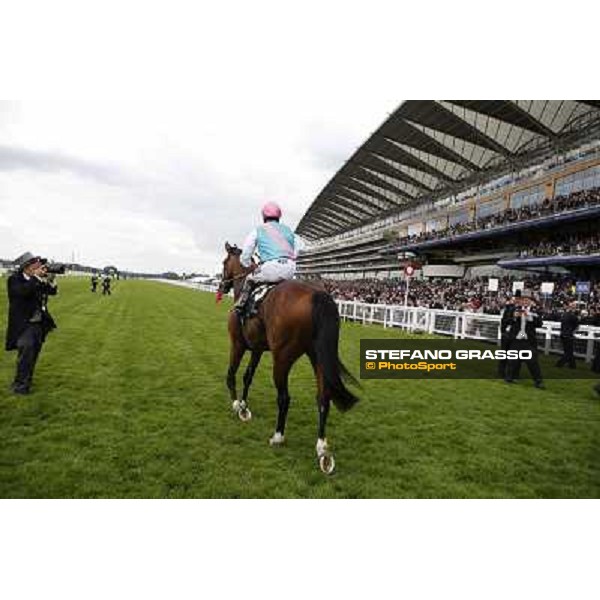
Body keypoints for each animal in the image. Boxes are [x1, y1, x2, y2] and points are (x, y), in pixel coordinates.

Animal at [220, 240, 360, 474]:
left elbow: (231, 374)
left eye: (224, 262)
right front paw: (244, 407)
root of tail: (317, 294)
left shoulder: (238, 344)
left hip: (282, 357)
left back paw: (278, 436)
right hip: (318, 357)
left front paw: (236, 405)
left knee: (284, 397)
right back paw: (323, 450)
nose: (221, 286)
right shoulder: (257, 349)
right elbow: (248, 376)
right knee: (323, 398)